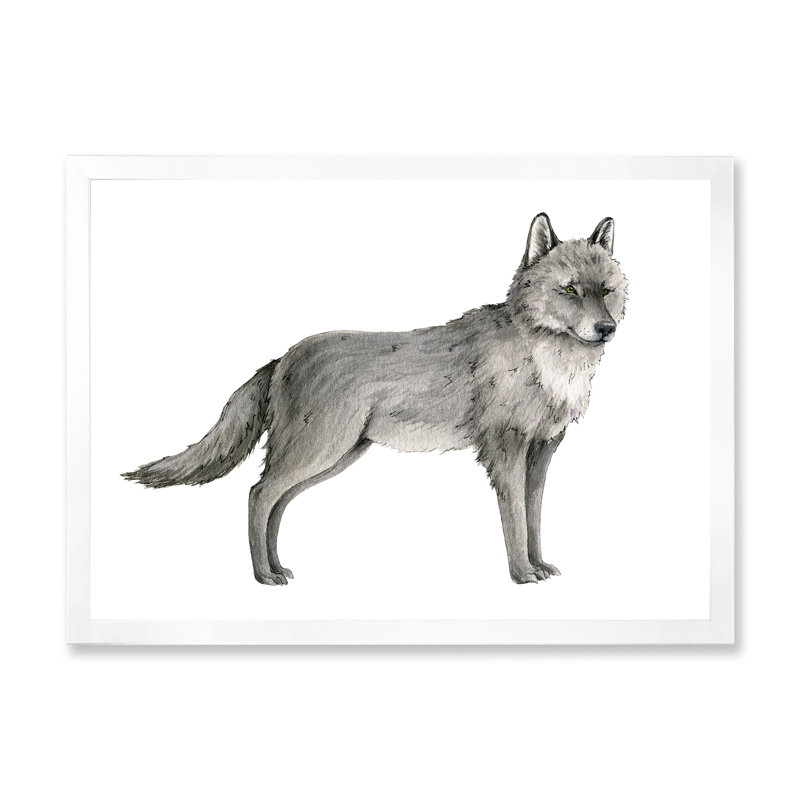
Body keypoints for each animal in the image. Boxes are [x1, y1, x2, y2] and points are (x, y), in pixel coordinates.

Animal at [124, 213, 628, 585]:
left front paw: (539, 565)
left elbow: (535, 518)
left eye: (606, 291)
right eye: (569, 290)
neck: (547, 364)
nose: (606, 329)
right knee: (256, 495)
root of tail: (283, 357)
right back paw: (262, 576)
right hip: (318, 452)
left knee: (273, 503)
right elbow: (516, 523)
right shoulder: (505, 451)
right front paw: (521, 574)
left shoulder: (541, 452)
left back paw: (277, 568)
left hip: (333, 459)